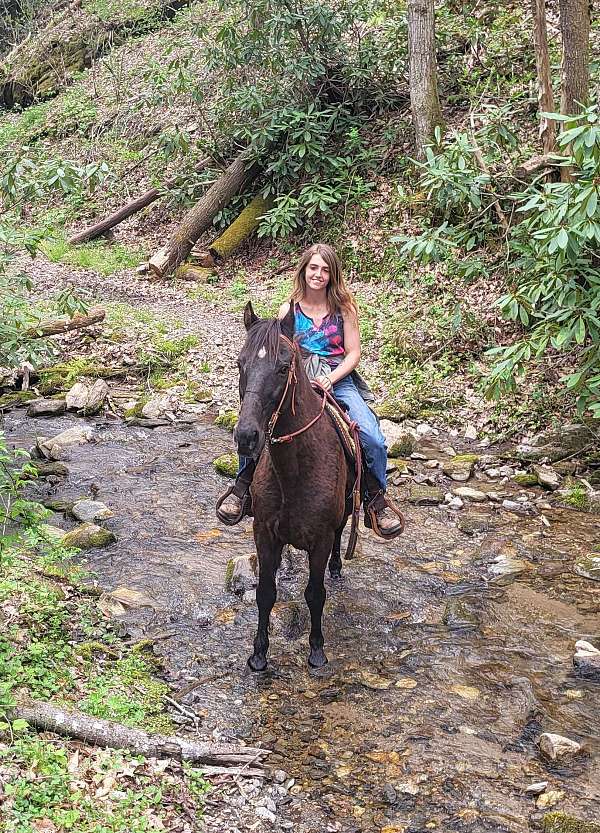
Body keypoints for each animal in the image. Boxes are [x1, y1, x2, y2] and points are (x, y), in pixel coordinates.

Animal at [236, 300, 356, 668]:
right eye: (240, 363)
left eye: (283, 366)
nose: (246, 437)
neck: (296, 471)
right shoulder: (264, 533)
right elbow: (265, 593)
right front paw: (259, 653)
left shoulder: (319, 539)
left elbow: (315, 594)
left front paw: (317, 650)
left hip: (346, 509)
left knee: (340, 534)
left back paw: (336, 567)